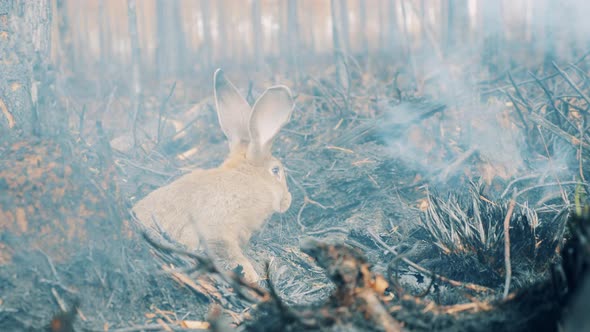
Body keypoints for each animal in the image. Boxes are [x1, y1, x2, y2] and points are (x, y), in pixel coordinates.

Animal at [132, 68, 294, 282]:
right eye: (276, 170)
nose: (288, 200)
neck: (247, 178)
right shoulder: (218, 226)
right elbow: (228, 252)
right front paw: (251, 275)